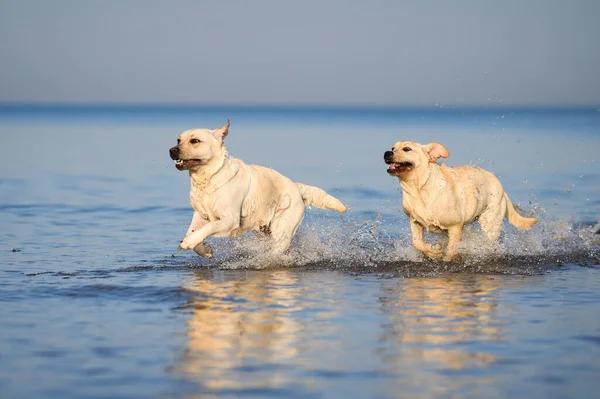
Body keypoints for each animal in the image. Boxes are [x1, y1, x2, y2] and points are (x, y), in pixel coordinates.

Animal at [169, 120, 346, 260]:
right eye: (178, 140)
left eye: (195, 141)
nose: (172, 150)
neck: (209, 178)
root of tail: (295, 185)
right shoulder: (200, 214)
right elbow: (191, 231)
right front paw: (202, 249)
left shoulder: (230, 219)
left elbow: (208, 227)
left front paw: (189, 242)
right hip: (264, 229)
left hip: (282, 227)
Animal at [384, 142, 540, 260]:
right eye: (393, 147)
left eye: (407, 149)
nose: (386, 153)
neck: (418, 190)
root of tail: (502, 188)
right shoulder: (414, 221)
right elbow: (417, 243)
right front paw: (434, 250)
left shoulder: (455, 226)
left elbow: (451, 250)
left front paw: (445, 258)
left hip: (490, 222)